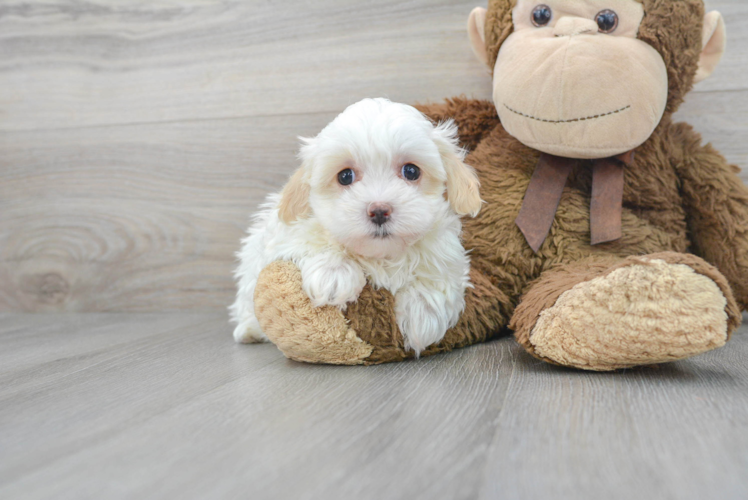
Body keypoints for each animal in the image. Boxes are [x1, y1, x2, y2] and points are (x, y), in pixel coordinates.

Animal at [231, 97, 482, 356]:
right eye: (345, 176)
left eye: (411, 171)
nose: (379, 210)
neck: (382, 256)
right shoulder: (285, 234)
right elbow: (312, 238)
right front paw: (333, 274)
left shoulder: (448, 252)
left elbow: (439, 270)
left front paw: (422, 313)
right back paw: (249, 330)